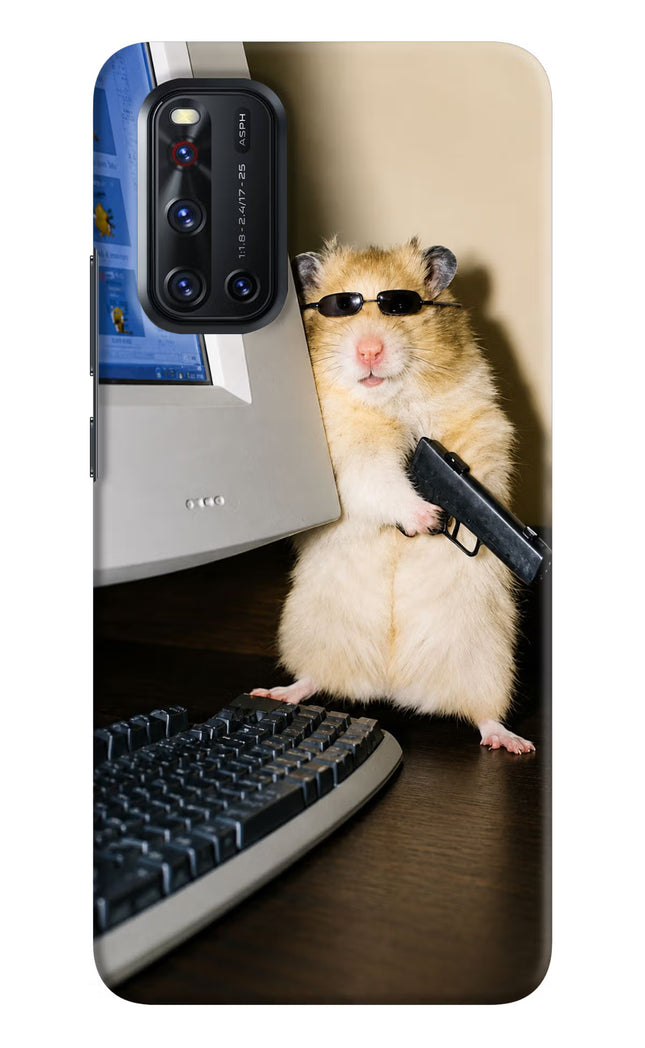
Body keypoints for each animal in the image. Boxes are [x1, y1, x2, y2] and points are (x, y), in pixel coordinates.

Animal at [252, 238, 534, 754]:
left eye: (400, 306)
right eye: (340, 307)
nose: (369, 350)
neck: (389, 401)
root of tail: (393, 686)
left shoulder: (481, 424)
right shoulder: (348, 458)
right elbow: (380, 482)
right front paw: (428, 518)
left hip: (487, 660)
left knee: (484, 714)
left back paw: (512, 742)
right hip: (311, 632)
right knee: (313, 679)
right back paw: (276, 692)